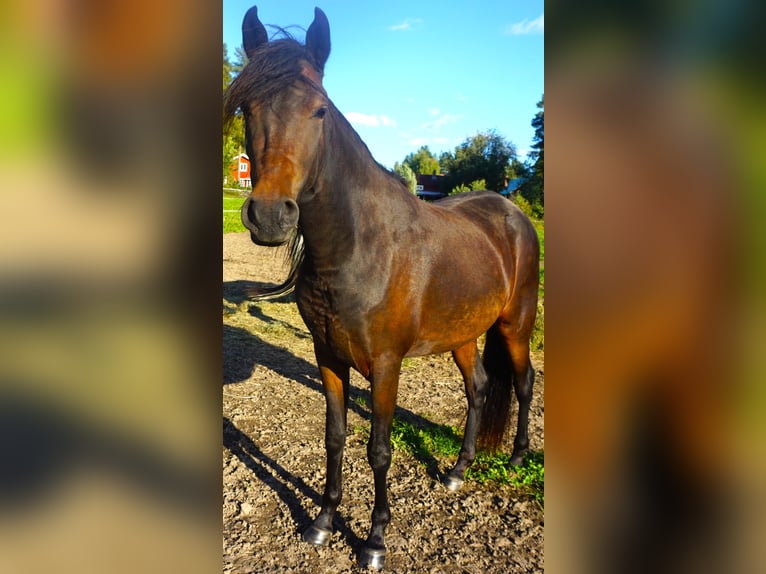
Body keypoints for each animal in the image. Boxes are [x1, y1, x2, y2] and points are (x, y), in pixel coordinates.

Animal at [224, 6, 540, 569]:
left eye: (319, 110)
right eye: (247, 107)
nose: (270, 216)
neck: (357, 246)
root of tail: (513, 214)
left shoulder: (386, 365)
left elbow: (378, 449)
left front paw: (373, 540)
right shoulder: (327, 355)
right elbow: (335, 438)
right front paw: (323, 522)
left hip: (515, 325)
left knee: (523, 384)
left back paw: (519, 455)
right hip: (464, 333)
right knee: (479, 388)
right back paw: (458, 471)